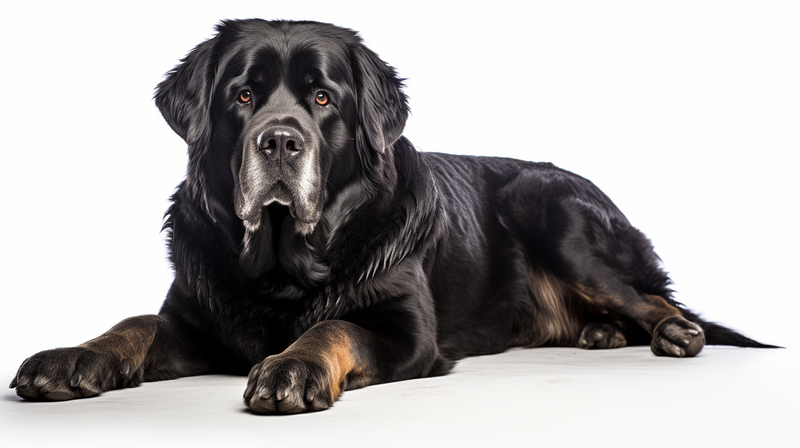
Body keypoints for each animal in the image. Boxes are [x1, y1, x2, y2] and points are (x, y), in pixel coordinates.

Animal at [6, 20, 772, 412]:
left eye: (322, 99)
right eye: (244, 95)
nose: (278, 141)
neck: (285, 263)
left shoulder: (408, 333)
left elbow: (336, 323)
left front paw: (293, 367)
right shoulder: (198, 319)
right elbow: (133, 322)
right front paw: (72, 358)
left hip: (549, 206)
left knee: (652, 295)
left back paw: (672, 332)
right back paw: (601, 334)